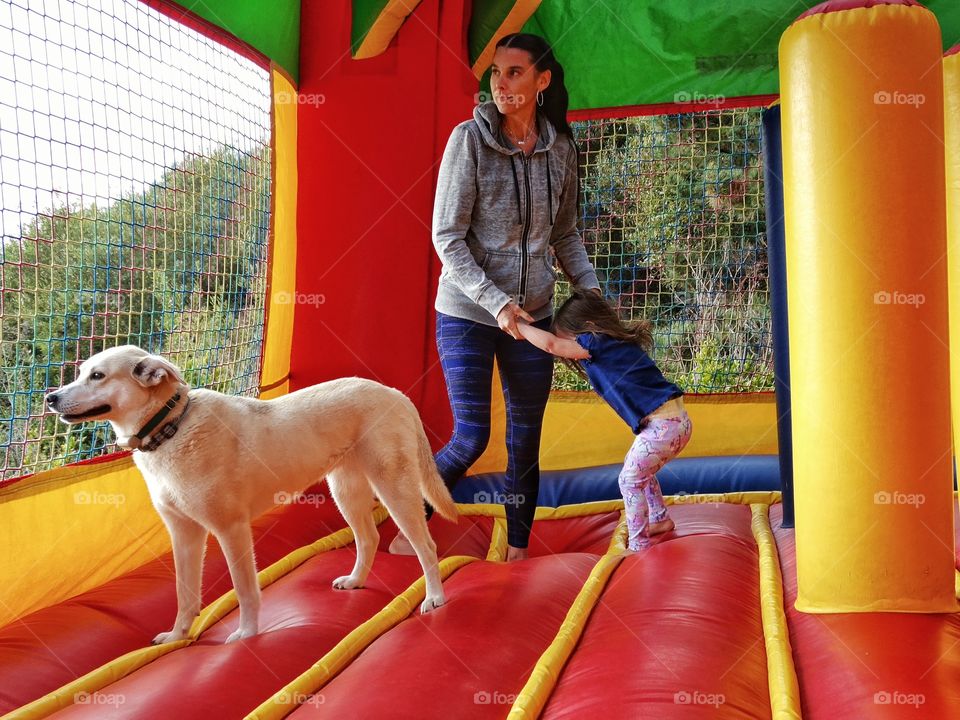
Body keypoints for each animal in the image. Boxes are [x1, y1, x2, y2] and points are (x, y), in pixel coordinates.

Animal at [47, 346, 460, 644]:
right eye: (80, 373)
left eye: (98, 376)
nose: (50, 397)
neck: (171, 428)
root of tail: (396, 394)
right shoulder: (184, 534)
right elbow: (184, 594)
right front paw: (178, 636)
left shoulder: (231, 529)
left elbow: (245, 590)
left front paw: (246, 636)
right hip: (345, 489)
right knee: (369, 537)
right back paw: (356, 580)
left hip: (394, 487)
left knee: (426, 547)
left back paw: (434, 598)